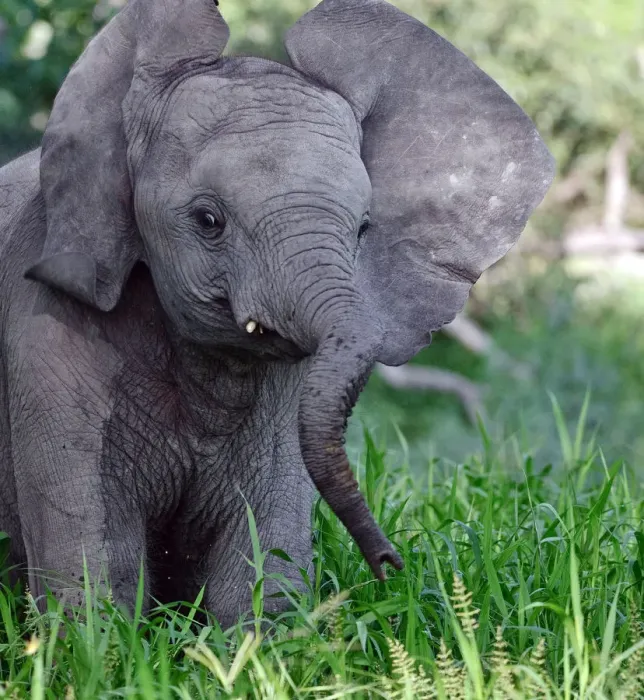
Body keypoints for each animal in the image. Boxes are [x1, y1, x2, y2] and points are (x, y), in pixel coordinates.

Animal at [0, 0, 554, 625]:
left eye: (363, 228)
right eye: (208, 220)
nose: (393, 566)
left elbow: (260, 557)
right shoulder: (49, 335)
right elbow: (95, 571)